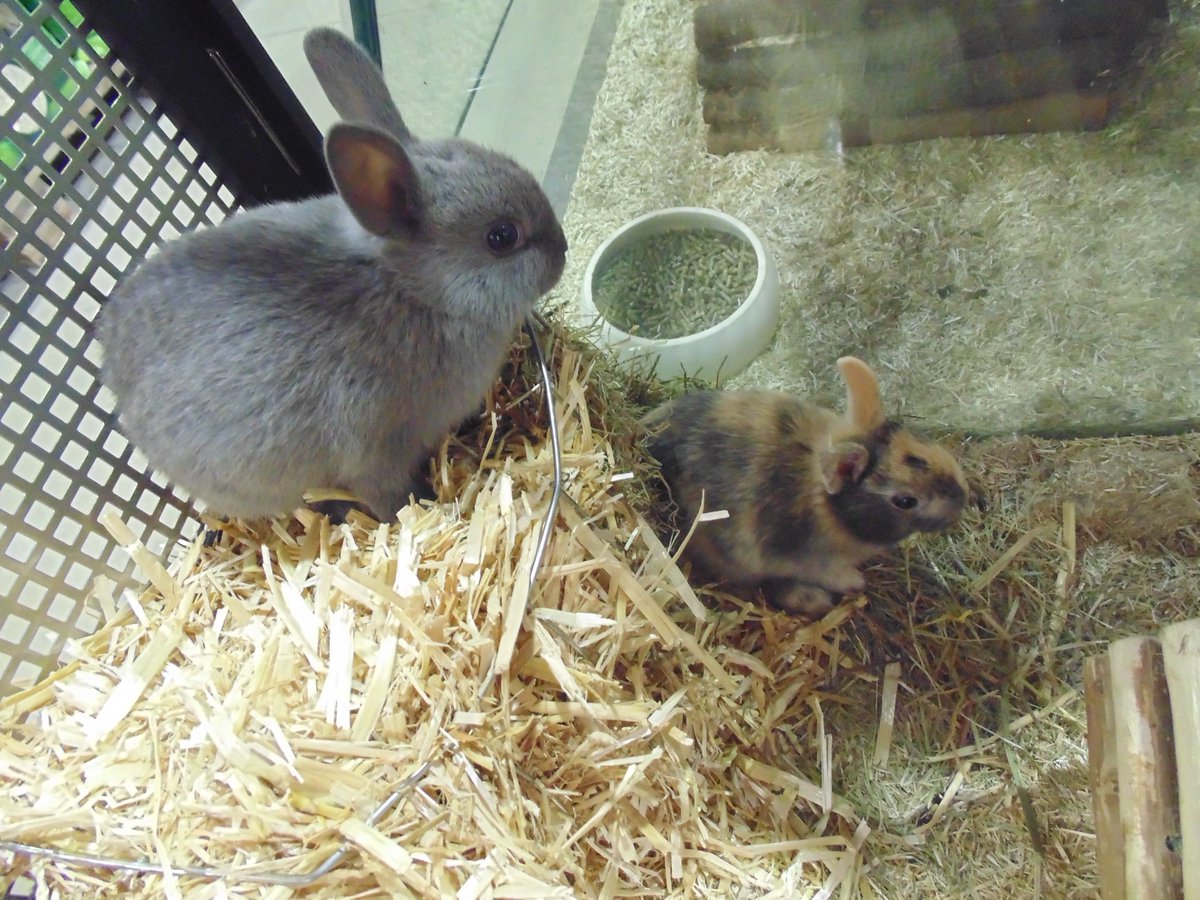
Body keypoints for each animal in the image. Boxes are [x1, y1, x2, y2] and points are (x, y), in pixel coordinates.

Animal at [97, 27, 567, 522]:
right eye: (502, 236)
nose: (563, 250)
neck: (416, 293)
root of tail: (111, 376)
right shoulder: (373, 452)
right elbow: (388, 495)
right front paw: (421, 506)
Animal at [639, 357, 968, 616]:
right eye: (905, 501)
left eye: (922, 448)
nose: (962, 500)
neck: (829, 507)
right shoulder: (806, 560)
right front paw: (855, 582)